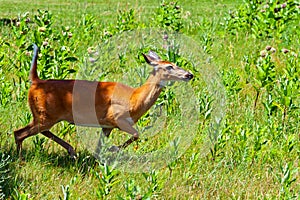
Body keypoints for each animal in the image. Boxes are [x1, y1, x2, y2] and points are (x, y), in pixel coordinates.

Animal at [14, 43, 193, 158]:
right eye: (169, 66)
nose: (189, 74)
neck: (134, 98)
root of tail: (36, 81)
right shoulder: (116, 117)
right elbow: (137, 134)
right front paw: (114, 149)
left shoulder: (107, 126)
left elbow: (100, 146)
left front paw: (102, 157)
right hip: (46, 115)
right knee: (19, 133)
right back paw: (20, 158)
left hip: (45, 115)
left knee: (35, 131)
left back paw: (71, 151)